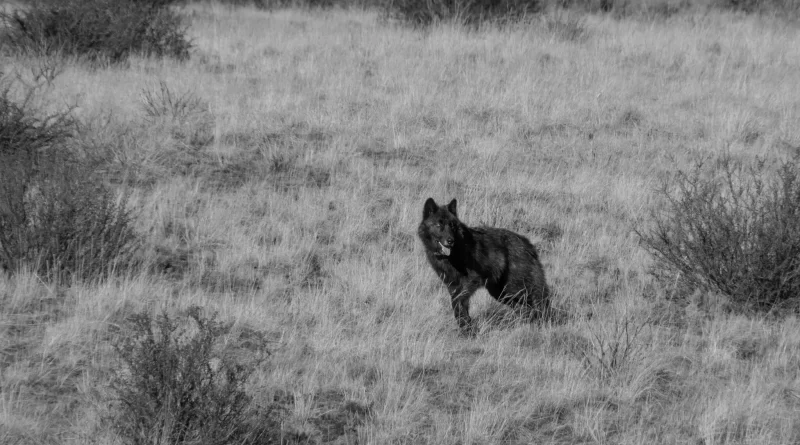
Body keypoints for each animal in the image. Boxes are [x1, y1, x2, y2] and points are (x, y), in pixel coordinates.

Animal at [417, 198, 551, 335]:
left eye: (452, 225)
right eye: (439, 225)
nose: (450, 241)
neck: (451, 255)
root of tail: (527, 243)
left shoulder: (470, 281)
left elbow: (456, 301)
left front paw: (468, 329)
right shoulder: (452, 285)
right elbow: (459, 307)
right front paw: (466, 328)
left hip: (515, 288)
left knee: (538, 303)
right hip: (501, 293)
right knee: (524, 309)